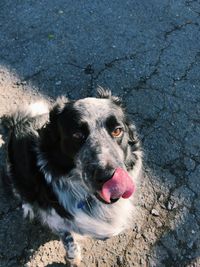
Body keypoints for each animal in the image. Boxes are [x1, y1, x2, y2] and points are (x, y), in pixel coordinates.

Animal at [1, 89, 142, 266]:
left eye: (117, 131)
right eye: (77, 135)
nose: (108, 177)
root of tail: (18, 123)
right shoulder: (55, 215)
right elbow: (67, 237)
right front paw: (72, 258)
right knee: (21, 192)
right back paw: (28, 207)